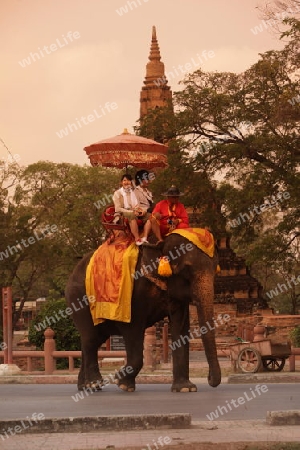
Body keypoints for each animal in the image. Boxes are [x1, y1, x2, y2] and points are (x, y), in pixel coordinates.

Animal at [65, 234, 220, 392]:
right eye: (186, 269)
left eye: (216, 269)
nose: (209, 378)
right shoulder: (132, 294)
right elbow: (132, 328)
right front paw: (123, 384)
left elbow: (180, 327)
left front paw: (185, 389)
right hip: (78, 299)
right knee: (90, 338)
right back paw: (94, 384)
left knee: (93, 340)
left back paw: (84, 387)